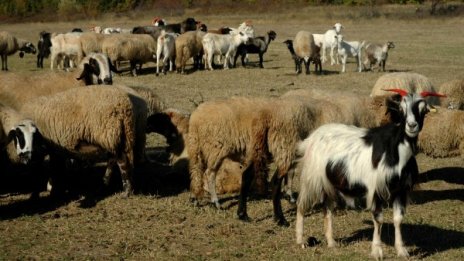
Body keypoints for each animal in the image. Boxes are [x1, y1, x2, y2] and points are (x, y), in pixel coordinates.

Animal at [298, 88, 446, 258]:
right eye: (402, 109)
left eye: (423, 110)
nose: (412, 126)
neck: (395, 151)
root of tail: (312, 137)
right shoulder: (375, 188)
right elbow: (378, 219)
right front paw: (377, 251)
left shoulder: (401, 190)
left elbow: (398, 219)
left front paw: (401, 250)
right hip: (312, 178)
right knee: (301, 205)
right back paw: (300, 241)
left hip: (329, 182)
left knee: (327, 208)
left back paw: (331, 242)